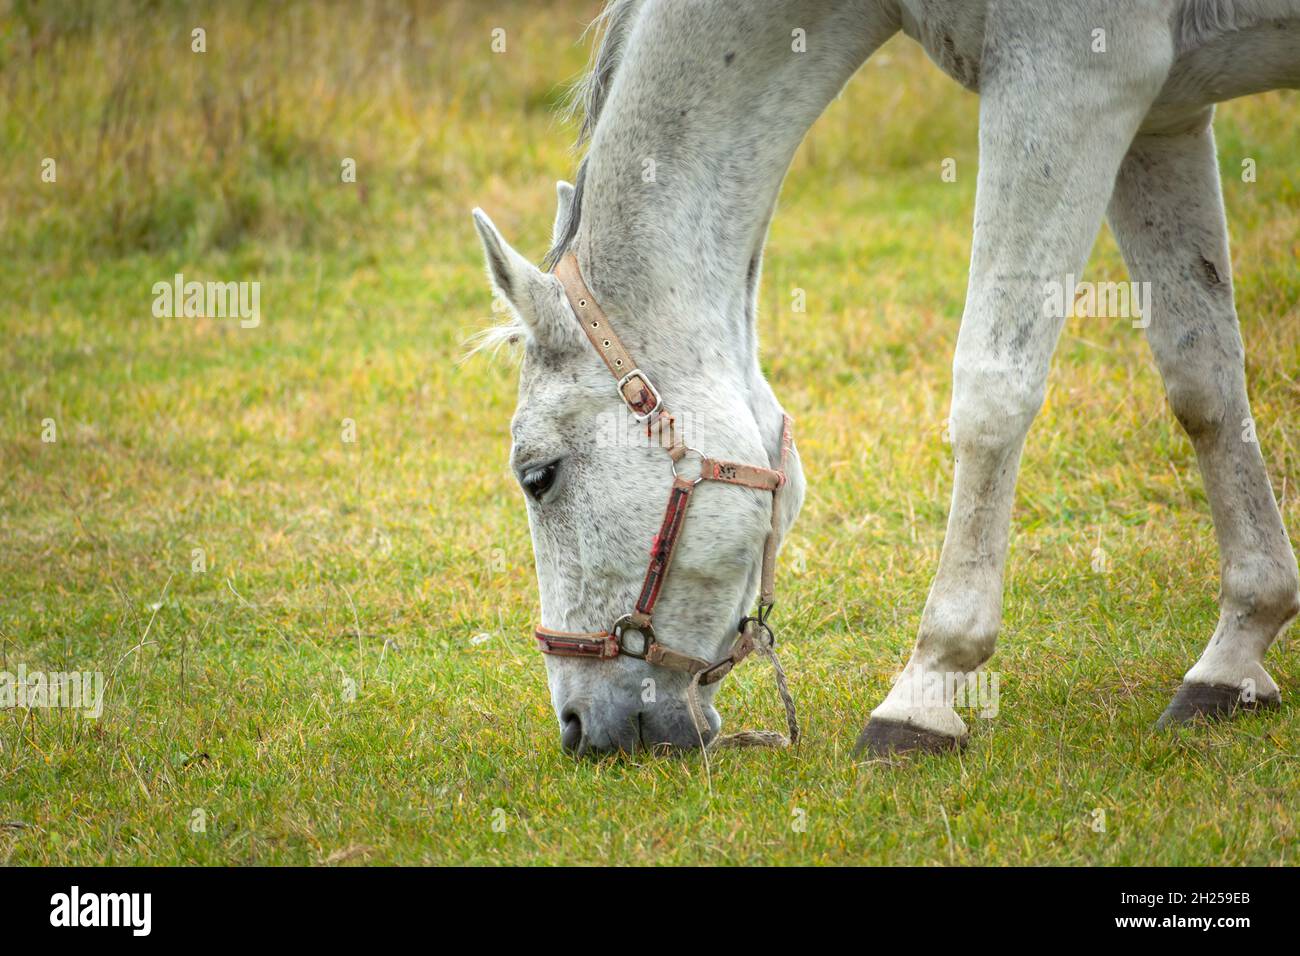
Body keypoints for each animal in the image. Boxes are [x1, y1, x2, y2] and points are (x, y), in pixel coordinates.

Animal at [471, 0, 1300, 756]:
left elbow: (993, 392)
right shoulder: (1164, 115)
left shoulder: (1076, 80)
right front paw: (1235, 655)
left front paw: (925, 691)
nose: (578, 732)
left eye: (538, 476)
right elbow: (1203, 380)